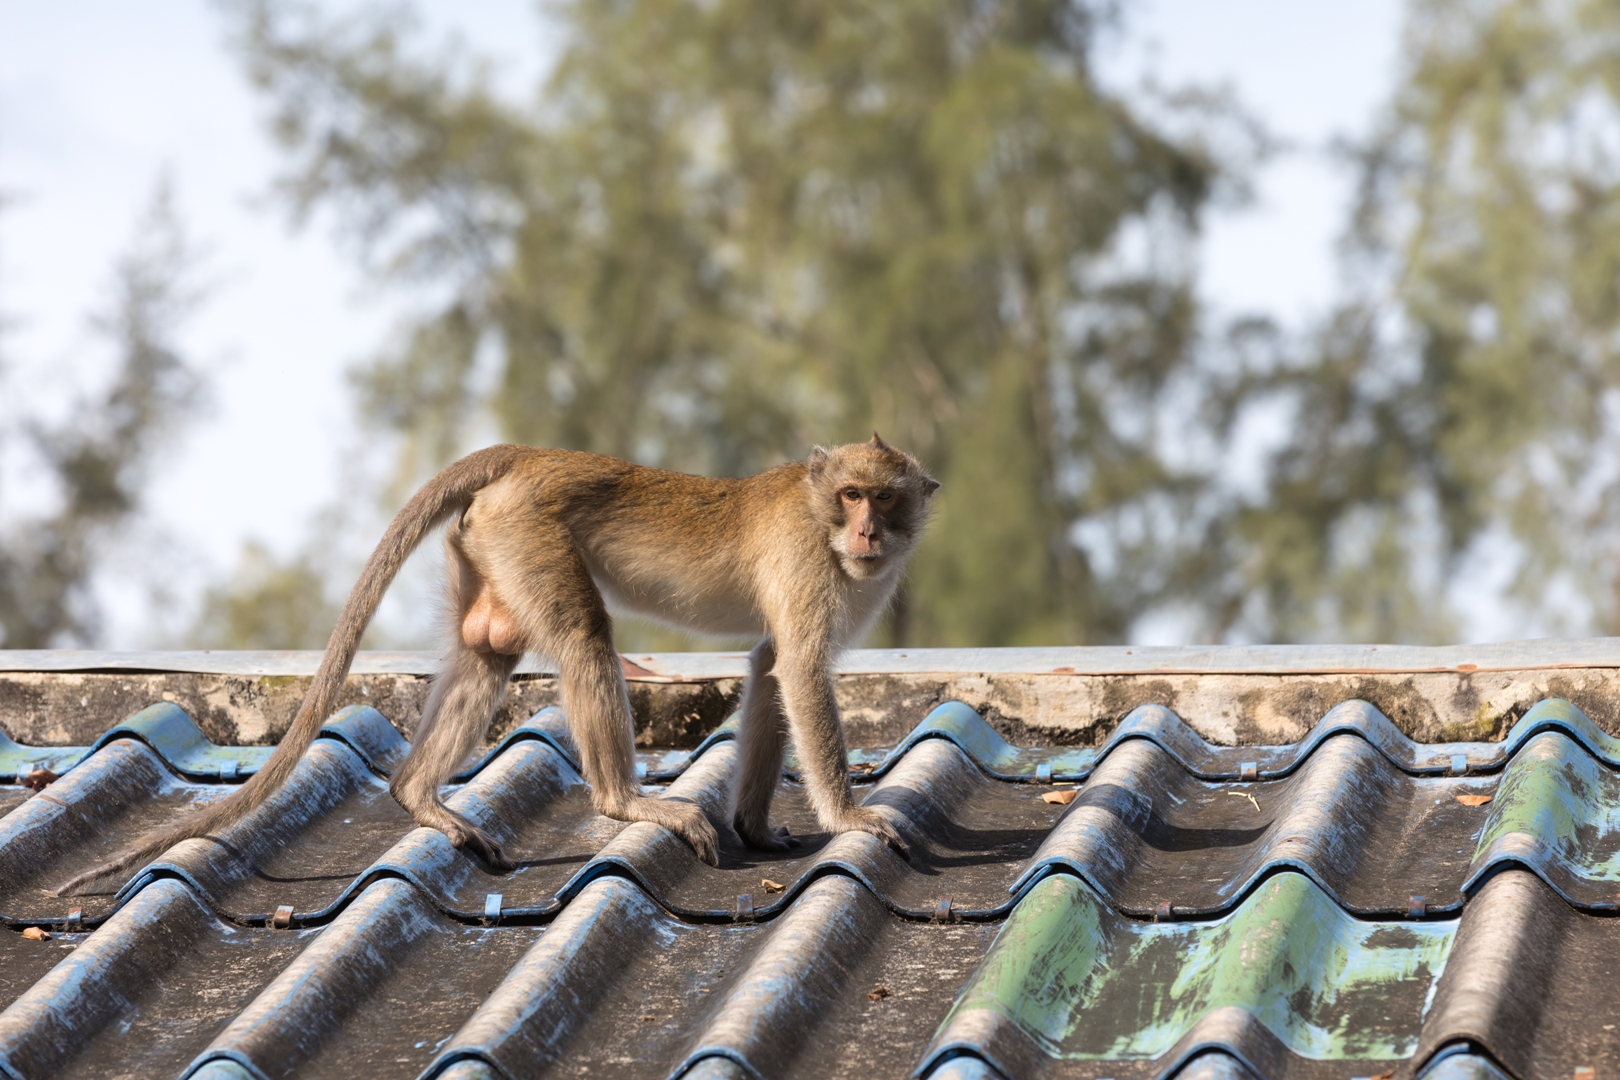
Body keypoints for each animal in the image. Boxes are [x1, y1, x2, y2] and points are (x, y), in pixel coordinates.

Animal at [59, 433, 939, 893]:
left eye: (886, 498)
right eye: (852, 495)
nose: (868, 532)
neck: (819, 519)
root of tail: (529, 454)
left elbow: (768, 666)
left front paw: (755, 824)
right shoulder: (808, 562)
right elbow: (800, 669)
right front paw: (850, 817)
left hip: (490, 542)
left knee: (487, 649)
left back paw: (419, 796)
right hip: (528, 529)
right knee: (583, 639)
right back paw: (626, 804)